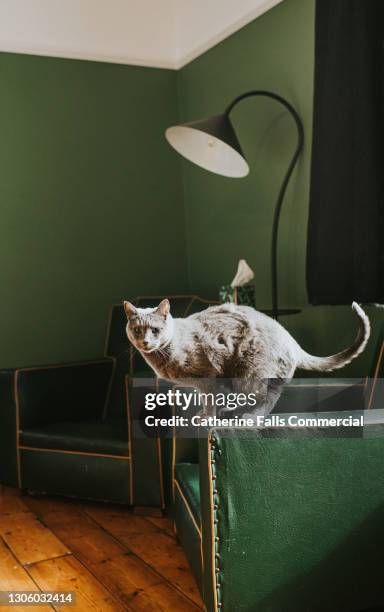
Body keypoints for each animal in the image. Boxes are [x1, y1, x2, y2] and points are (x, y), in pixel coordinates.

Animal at [123, 300, 368, 418]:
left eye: (155, 330)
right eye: (137, 330)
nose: (145, 341)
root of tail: (292, 341)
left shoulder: (207, 376)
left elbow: (209, 399)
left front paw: (206, 417)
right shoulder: (212, 381)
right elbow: (208, 398)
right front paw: (206, 413)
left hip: (251, 373)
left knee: (267, 398)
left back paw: (252, 417)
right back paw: (231, 411)